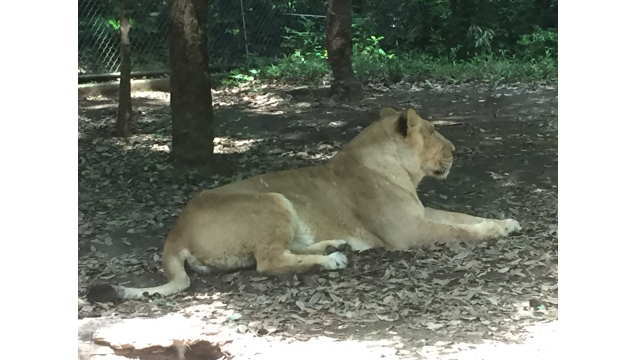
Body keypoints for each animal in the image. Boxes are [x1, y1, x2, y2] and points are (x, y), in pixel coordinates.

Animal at [89, 107, 520, 300]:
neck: (396, 167)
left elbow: (462, 216)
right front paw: (497, 230)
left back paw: (335, 245)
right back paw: (332, 260)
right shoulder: (407, 230)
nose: (455, 150)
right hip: (271, 199)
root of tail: (174, 233)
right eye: (431, 132)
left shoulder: (417, 215)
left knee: (285, 251)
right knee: (268, 262)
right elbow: (457, 229)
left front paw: (505, 221)